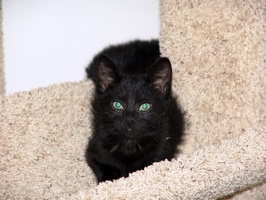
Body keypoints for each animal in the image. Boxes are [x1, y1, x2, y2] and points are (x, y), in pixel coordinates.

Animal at [86, 39, 184, 183]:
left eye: (144, 106)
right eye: (117, 105)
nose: (129, 121)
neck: (129, 145)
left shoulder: (162, 151)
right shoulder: (95, 149)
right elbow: (105, 169)